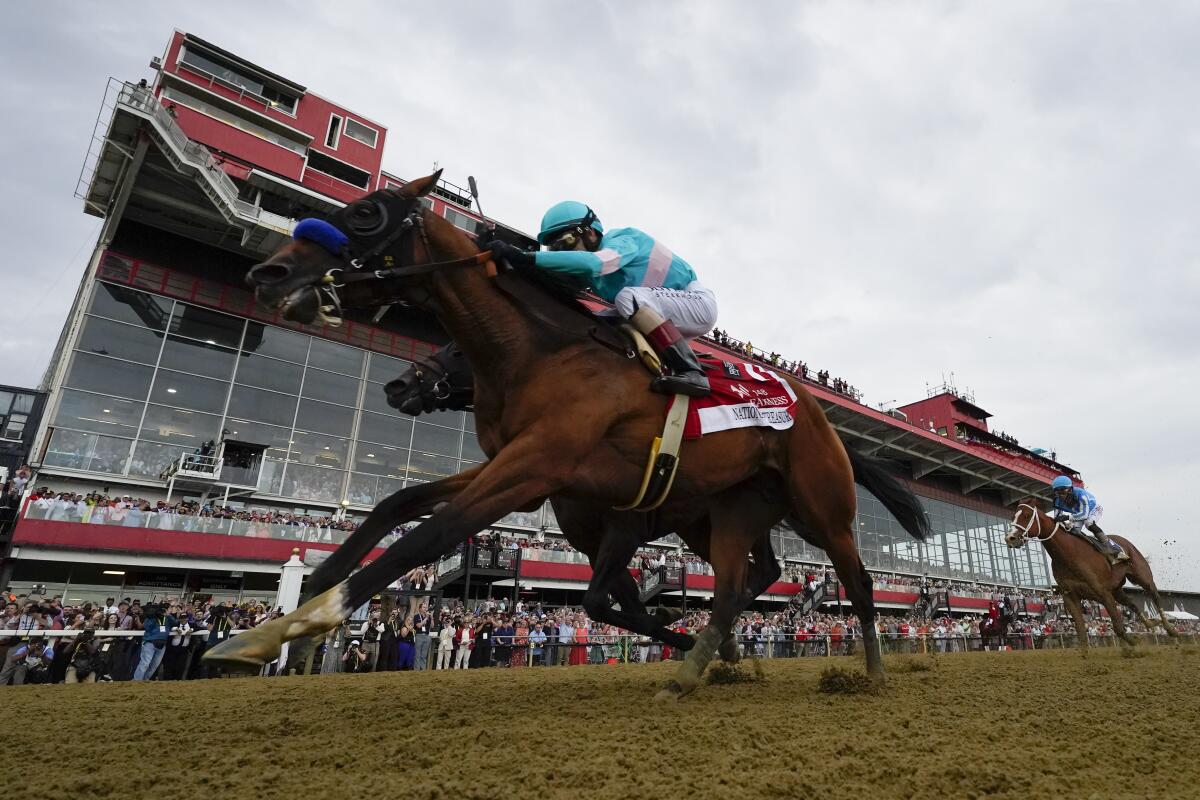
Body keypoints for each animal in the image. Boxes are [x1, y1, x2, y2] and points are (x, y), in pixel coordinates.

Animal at [206, 173, 926, 695]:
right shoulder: (526, 472)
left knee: (857, 582)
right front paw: (292, 609)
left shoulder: (546, 471)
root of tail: (819, 416)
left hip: (821, 506)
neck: (541, 350)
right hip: (735, 508)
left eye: (365, 215)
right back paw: (701, 662)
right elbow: (397, 503)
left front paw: (303, 621)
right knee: (736, 585)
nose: (268, 274)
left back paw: (869, 674)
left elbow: (436, 536)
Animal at [1008, 496, 1176, 647]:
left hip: (1143, 576)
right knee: (1132, 604)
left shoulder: (1103, 593)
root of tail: (1125, 542)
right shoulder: (1071, 596)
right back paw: (1151, 623)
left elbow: (1119, 629)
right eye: (1013, 516)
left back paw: (1171, 629)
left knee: (1155, 597)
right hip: (1116, 590)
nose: (1010, 538)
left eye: (1026, 515)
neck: (1069, 554)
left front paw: (1134, 645)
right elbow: (1082, 633)